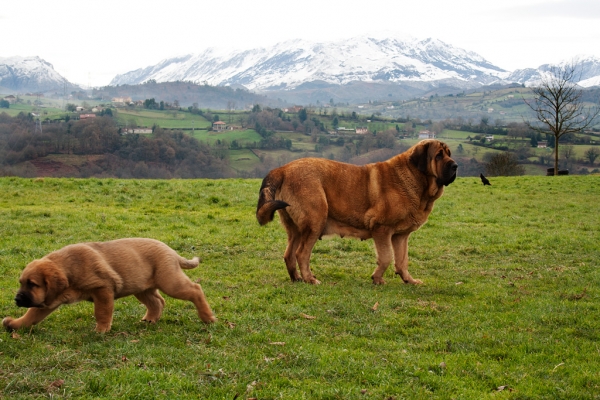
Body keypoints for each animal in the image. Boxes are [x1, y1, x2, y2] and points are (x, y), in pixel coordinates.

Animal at [3, 236, 216, 332]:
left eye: (32, 284)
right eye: (22, 283)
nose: (17, 300)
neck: (69, 269)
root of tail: (171, 250)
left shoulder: (102, 289)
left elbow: (102, 312)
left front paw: (101, 330)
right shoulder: (47, 301)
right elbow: (31, 316)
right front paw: (14, 324)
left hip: (170, 282)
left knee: (195, 289)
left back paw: (208, 318)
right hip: (141, 287)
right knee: (157, 302)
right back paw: (150, 319)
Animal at [255, 139, 458, 286]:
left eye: (449, 154)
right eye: (438, 156)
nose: (455, 165)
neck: (415, 179)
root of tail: (283, 168)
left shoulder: (401, 236)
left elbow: (402, 260)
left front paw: (409, 280)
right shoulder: (382, 229)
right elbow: (386, 257)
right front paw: (377, 279)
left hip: (296, 229)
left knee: (289, 254)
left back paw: (297, 279)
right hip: (315, 222)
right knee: (301, 254)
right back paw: (310, 279)